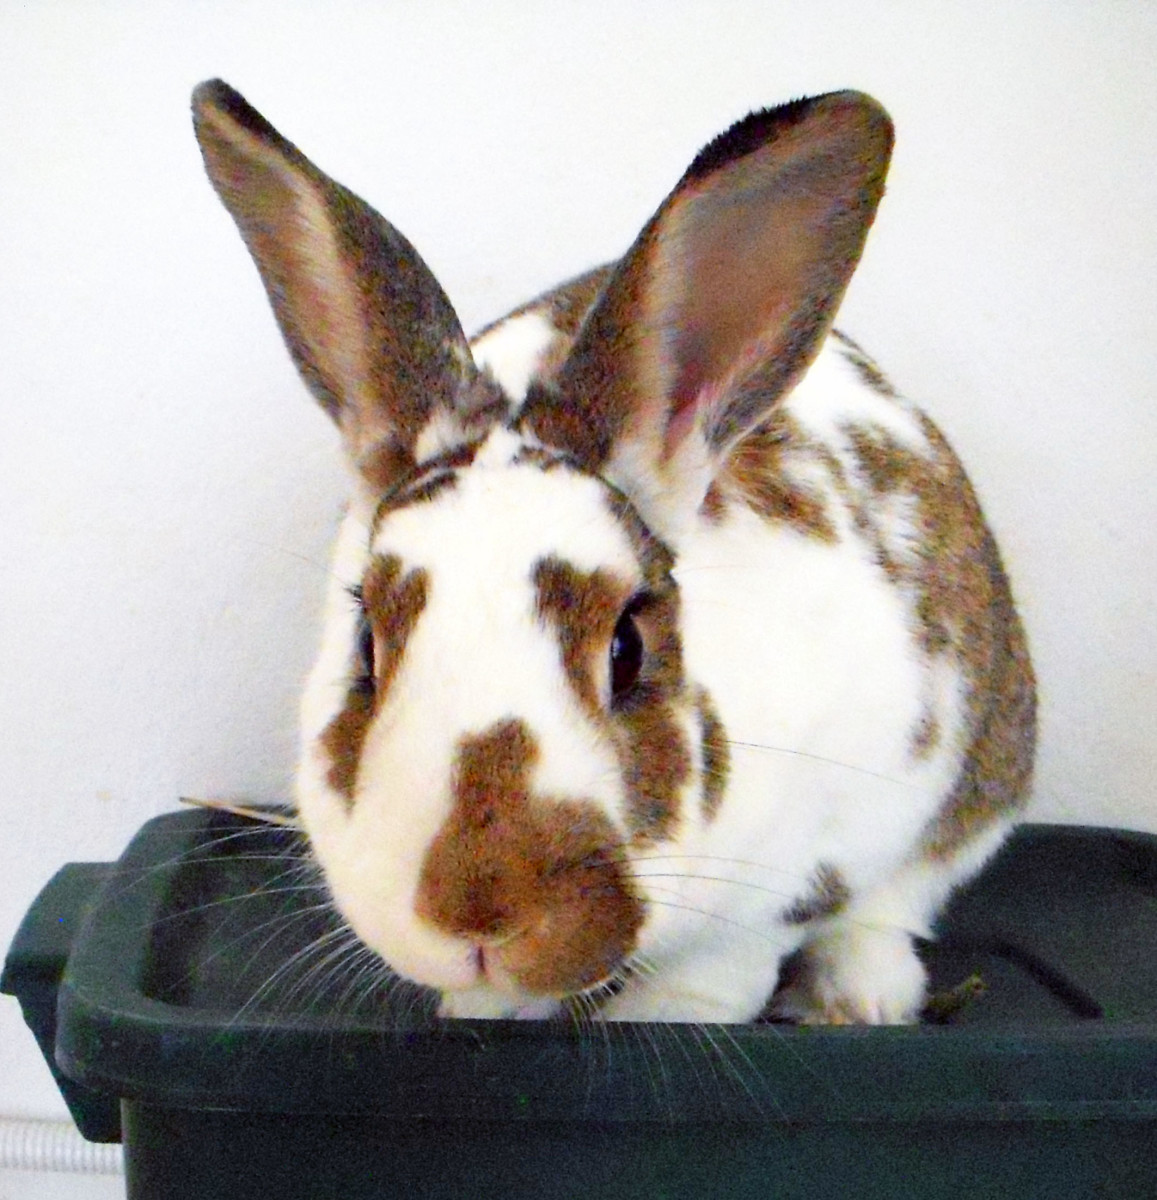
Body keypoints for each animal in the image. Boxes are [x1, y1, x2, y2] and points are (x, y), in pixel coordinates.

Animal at [192, 79, 1036, 1025]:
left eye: (626, 649)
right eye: (366, 647)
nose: (476, 914)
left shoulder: (793, 870)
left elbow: (730, 963)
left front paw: (663, 1013)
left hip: (983, 771)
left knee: (896, 905)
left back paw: (859, 997)